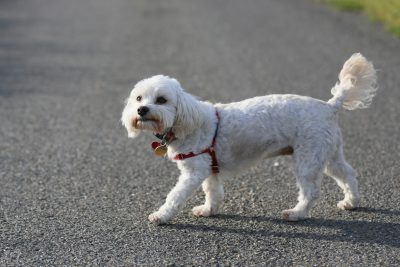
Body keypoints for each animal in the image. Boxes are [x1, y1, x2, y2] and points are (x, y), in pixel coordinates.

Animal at [120, 53, 376, 225]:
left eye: (161, 100)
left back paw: (297, 213)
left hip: (308, 158)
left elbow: (175, 195)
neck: (186, 121)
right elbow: (213, 191)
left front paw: (161, 215)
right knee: (348, 174)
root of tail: (330, 106)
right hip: (328, 153)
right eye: (139, 98)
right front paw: (208, 210)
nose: (141, 109)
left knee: (311, 191)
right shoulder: (210, 167)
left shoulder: (194, 170)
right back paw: (351, 201)